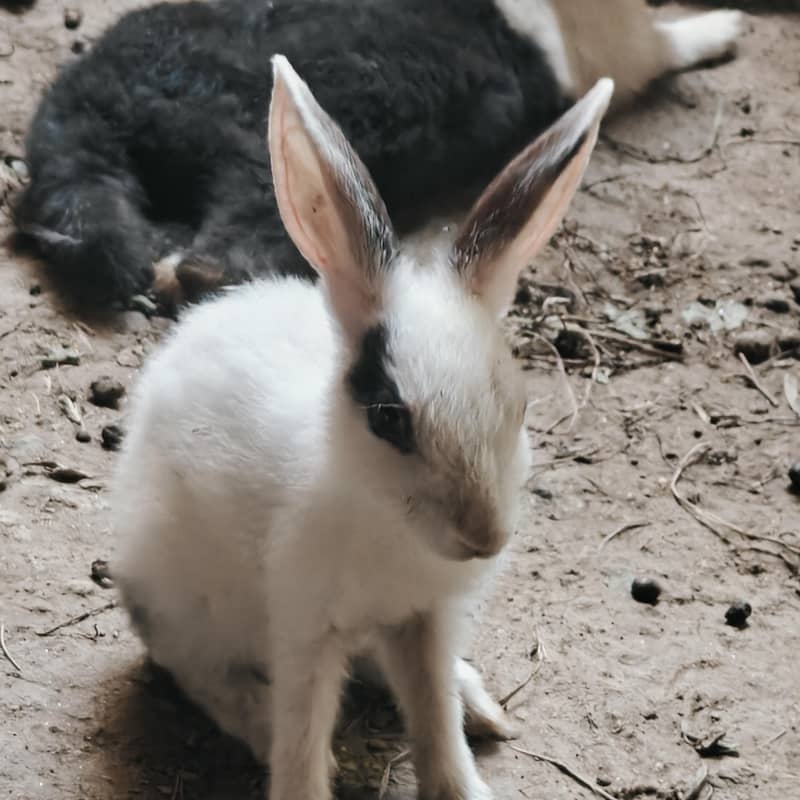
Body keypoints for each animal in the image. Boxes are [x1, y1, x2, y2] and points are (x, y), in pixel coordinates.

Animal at [14, 0, 743, 308]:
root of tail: (94, 105)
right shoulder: (618, 53)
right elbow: (667, 43)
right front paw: (727, 27)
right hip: (268, 159)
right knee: (218, 251)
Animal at [111, 53, 614, 800]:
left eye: (520, 406)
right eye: (388, 417)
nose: (484, 537)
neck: (386, 522)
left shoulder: (425, 620)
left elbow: (433, 715)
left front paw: (460, 783)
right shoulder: (304, 626)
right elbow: (302, 734)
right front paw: (308, 774)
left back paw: (480, 705)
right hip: (183, 606)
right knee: (202, 673)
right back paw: (256, 716)